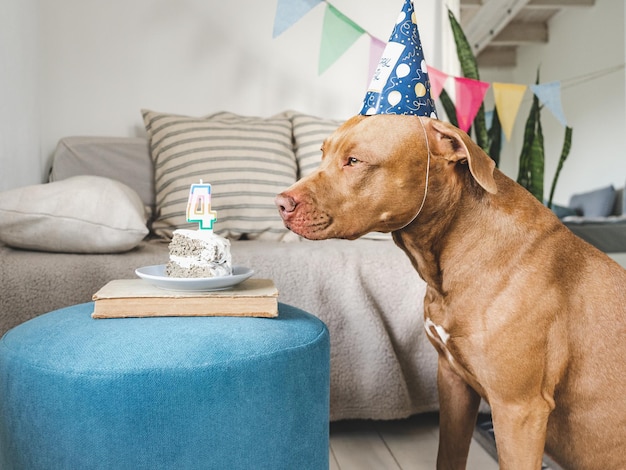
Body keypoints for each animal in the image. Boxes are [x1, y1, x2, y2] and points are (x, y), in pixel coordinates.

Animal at [276, 114, 624, 470]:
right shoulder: (453, 380)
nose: (281, 203)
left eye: (355, 161)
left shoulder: (519, 411)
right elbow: (449, 453)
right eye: (322, 153)